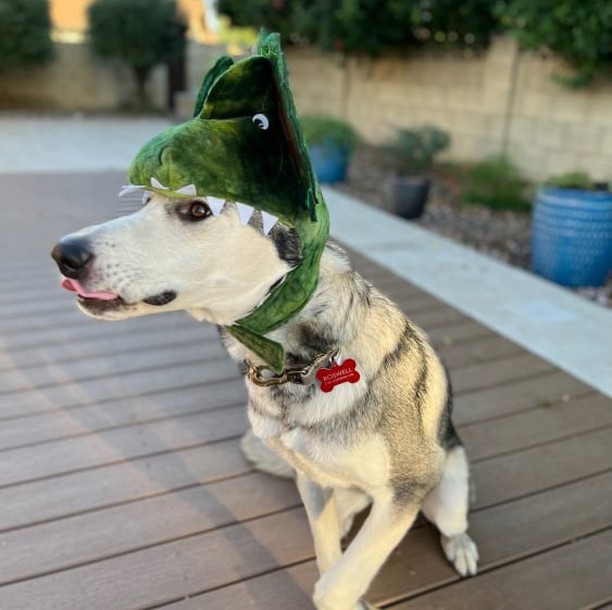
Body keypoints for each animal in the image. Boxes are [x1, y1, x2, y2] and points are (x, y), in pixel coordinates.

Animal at [49, 34, 478, 608]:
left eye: (197, 211)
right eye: (144, 200)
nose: (63, 255)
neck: (295, 364)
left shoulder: (407, 488)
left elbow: (336, 582)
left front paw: (348, 591)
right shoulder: (312, 481)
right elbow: (326, 553)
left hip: (447, 485)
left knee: (451, 521)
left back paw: (460, 546)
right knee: (348, 513)